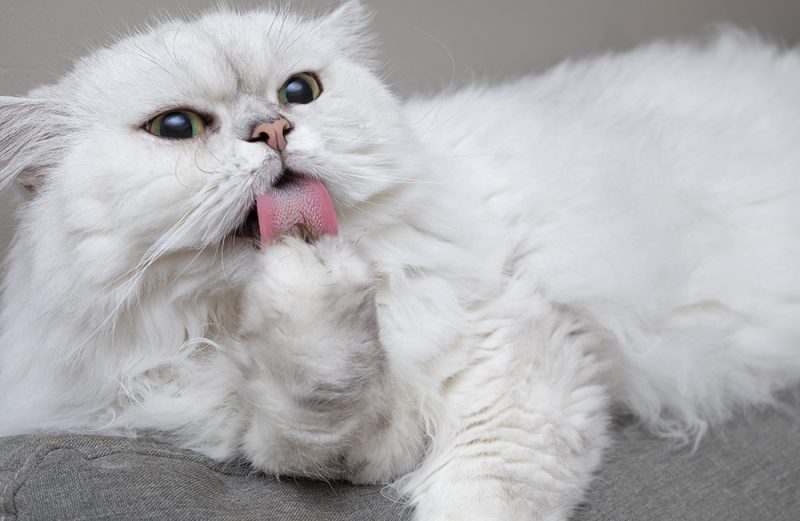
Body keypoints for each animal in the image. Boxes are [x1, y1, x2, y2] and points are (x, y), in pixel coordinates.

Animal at [1, 2, 800, 516]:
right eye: (176, 128)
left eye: (300, 91)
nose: (274, 129)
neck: (232, 330)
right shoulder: (330, 435)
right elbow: (318, 412)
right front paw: (307, 300)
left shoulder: (519, 349)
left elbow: (480, 490)